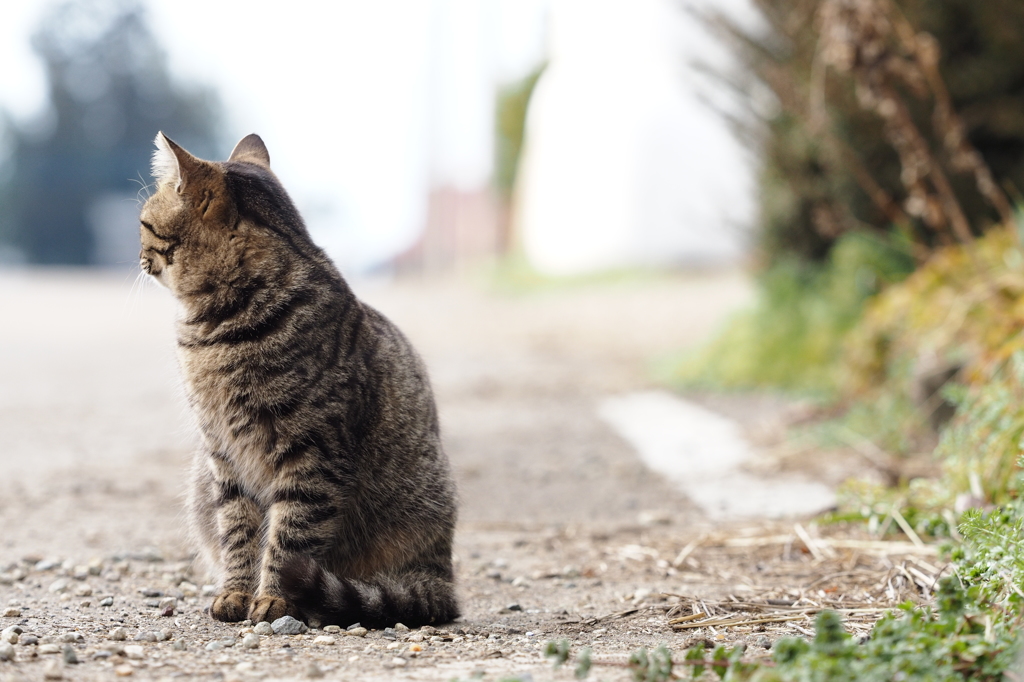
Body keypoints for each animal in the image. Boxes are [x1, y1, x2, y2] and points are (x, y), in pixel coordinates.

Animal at [138, 130, 458, 622]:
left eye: (143, 224)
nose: (136, 256)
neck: (219, 325)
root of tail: (442, 577)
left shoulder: (312, 455)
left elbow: (289, 537)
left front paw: (273, 599)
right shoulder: (223, 454)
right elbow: (238, 532)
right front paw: (235, 592)